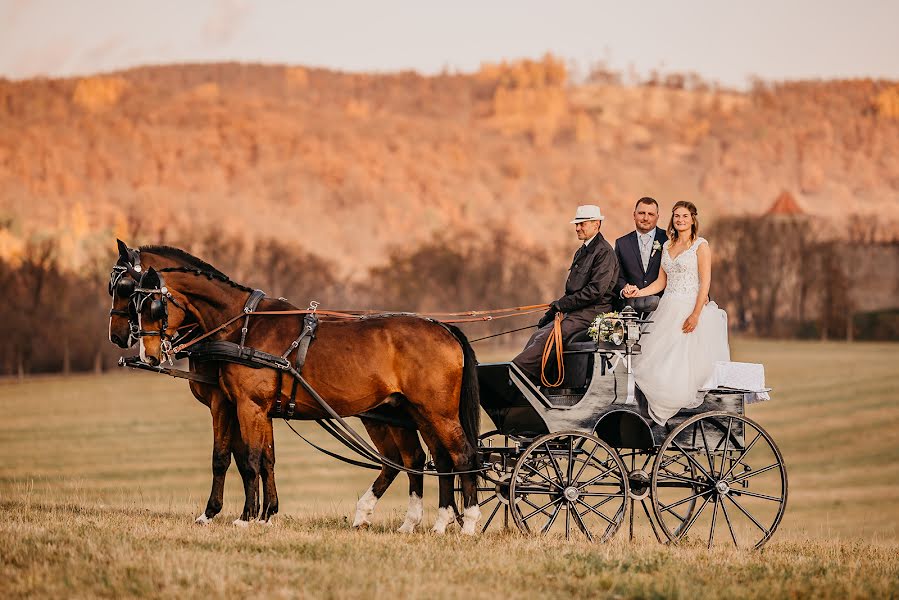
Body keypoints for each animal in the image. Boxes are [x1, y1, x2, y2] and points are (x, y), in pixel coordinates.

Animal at [132, 255, 486, 532]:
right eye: (132, 301)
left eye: (153, 306)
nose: (147, 355)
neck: (244, 327)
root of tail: (443, 328)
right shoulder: (256, 409)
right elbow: (265, 458)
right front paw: (265, 515)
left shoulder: (248, 405)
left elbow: (249, 459)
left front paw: (245, 517)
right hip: (412, 412)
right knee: (431, 459)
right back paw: (426, 522)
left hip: (437, 412)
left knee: (462, 456)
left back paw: (468, 522)